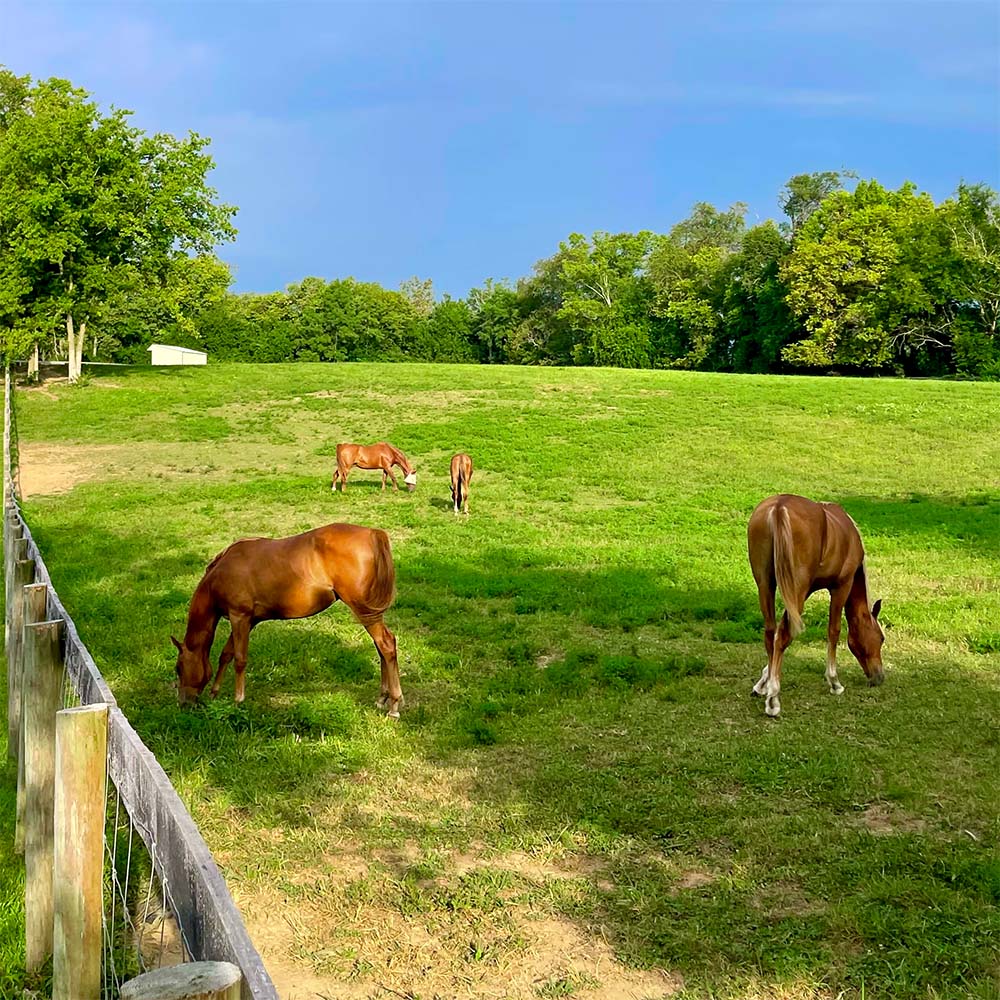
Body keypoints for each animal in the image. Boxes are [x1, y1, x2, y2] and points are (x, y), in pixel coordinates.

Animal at [172, 524, 402, 720]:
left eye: (178, 668)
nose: (183, 704)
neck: (221, 572)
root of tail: (372, 533)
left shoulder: (239, 617)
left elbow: (239, 659)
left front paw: (238, 700)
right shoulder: (248, 621)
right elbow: (226, 655)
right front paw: (215, 693)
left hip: (365, 612)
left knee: (386, 645)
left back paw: (394, 705)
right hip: (369, 614)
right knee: (381, 647)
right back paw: (382, 698)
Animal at [748, 494, 888, 716]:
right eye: (881, 638)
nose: (879, 676)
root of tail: (779, 507)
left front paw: (763, 682)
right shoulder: (841, 587)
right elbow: (834, 630)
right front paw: (834, 682)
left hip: (766, 585)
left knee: (771, 633)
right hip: (797, 591)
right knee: (782, 636)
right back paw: (773, 700)